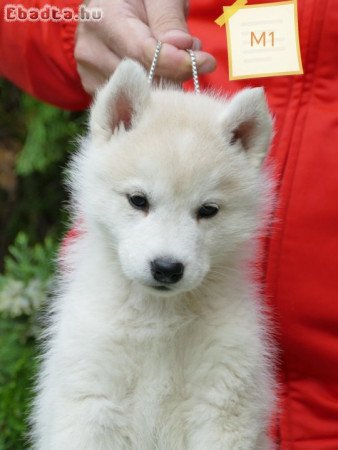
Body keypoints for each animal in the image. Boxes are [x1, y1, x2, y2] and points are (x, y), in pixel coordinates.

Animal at [31, 60, 278, 450]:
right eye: (138, 200)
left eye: (208, 210)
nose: (166, 268)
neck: (159, 317)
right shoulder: (92, 399)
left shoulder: (221, 402)